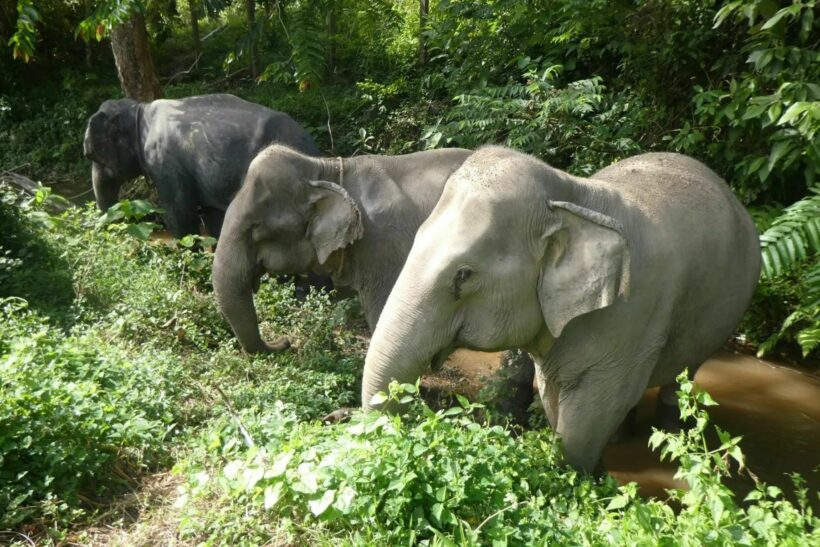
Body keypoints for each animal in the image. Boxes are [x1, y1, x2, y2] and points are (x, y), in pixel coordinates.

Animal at [362, 148, 760, 474]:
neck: (571, 198)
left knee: (681, 378)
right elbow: (554, 395)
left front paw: (587, 479)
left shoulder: (631, 312)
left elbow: (590, 412)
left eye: (463, 275)